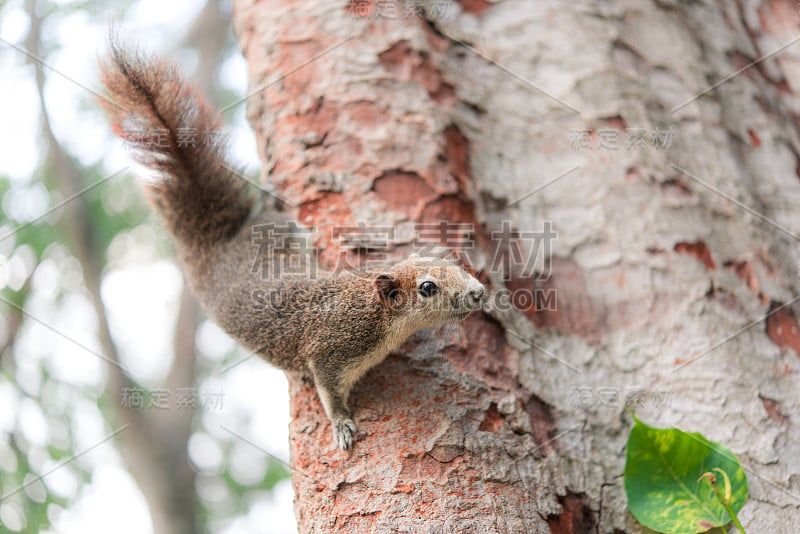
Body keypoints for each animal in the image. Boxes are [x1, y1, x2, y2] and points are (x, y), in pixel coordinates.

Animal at [100, 39, 488, 452]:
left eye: (454, 262)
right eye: (428, 288)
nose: (479, 292)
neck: (375, 312)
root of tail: (216, 247)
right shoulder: (331, 350)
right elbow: (329, 392)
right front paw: (342, 425)